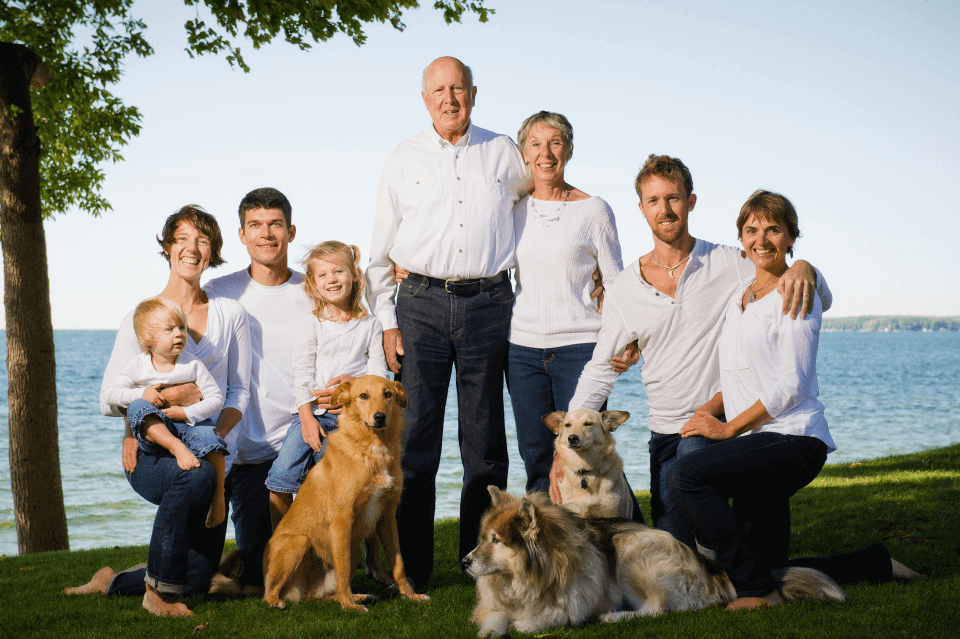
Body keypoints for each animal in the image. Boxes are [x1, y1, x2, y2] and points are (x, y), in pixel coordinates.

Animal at [262, 378, 428, 612]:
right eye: (363, 396)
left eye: (388, 394)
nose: (380, 417)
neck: (372, 448)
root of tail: (299, 592)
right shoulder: (342, 520)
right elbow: (342, 567)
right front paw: (349, 606)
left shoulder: (387, 517)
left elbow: (398, 564)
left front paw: (411, 595)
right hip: (299, 541)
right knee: (270, 594)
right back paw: (278, 601)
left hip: (354, 549)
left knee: (318, 596)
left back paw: (359, 596)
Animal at [462, 488, 844, 636]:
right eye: (482, 538)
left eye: (496, 541)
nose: (464, 562)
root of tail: (712, 567)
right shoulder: (493, 603)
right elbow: (495, 616)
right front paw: (492, 629)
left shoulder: (569, 606)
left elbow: (534, 621)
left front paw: (521, 623)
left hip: (633, 553)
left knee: (657, 609)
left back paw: (613, 616)